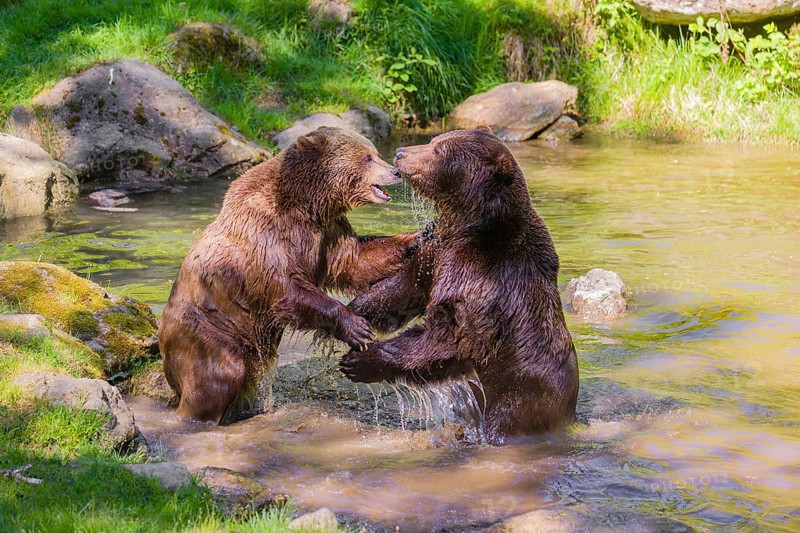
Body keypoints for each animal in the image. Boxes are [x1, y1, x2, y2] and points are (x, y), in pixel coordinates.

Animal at [159, 127, 425, 424]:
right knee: (219, 376)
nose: (395, 171)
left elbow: (355, 259)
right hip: (208, 332)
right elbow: (287, 287)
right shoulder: (267, 234)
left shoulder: (327, 231)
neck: (306, 203)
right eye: (367, 157)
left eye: (375, 152)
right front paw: (357, 327)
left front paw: (419, 235)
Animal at [340, 127, 579, 443]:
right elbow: (405, 287)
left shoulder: (485, 278)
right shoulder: (439, 253)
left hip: (518, 396)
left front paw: (359, 362)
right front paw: (351, 314)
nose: (401, 153)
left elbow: (451, 335)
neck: (470, 226)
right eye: (433, 140)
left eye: (438, 150)